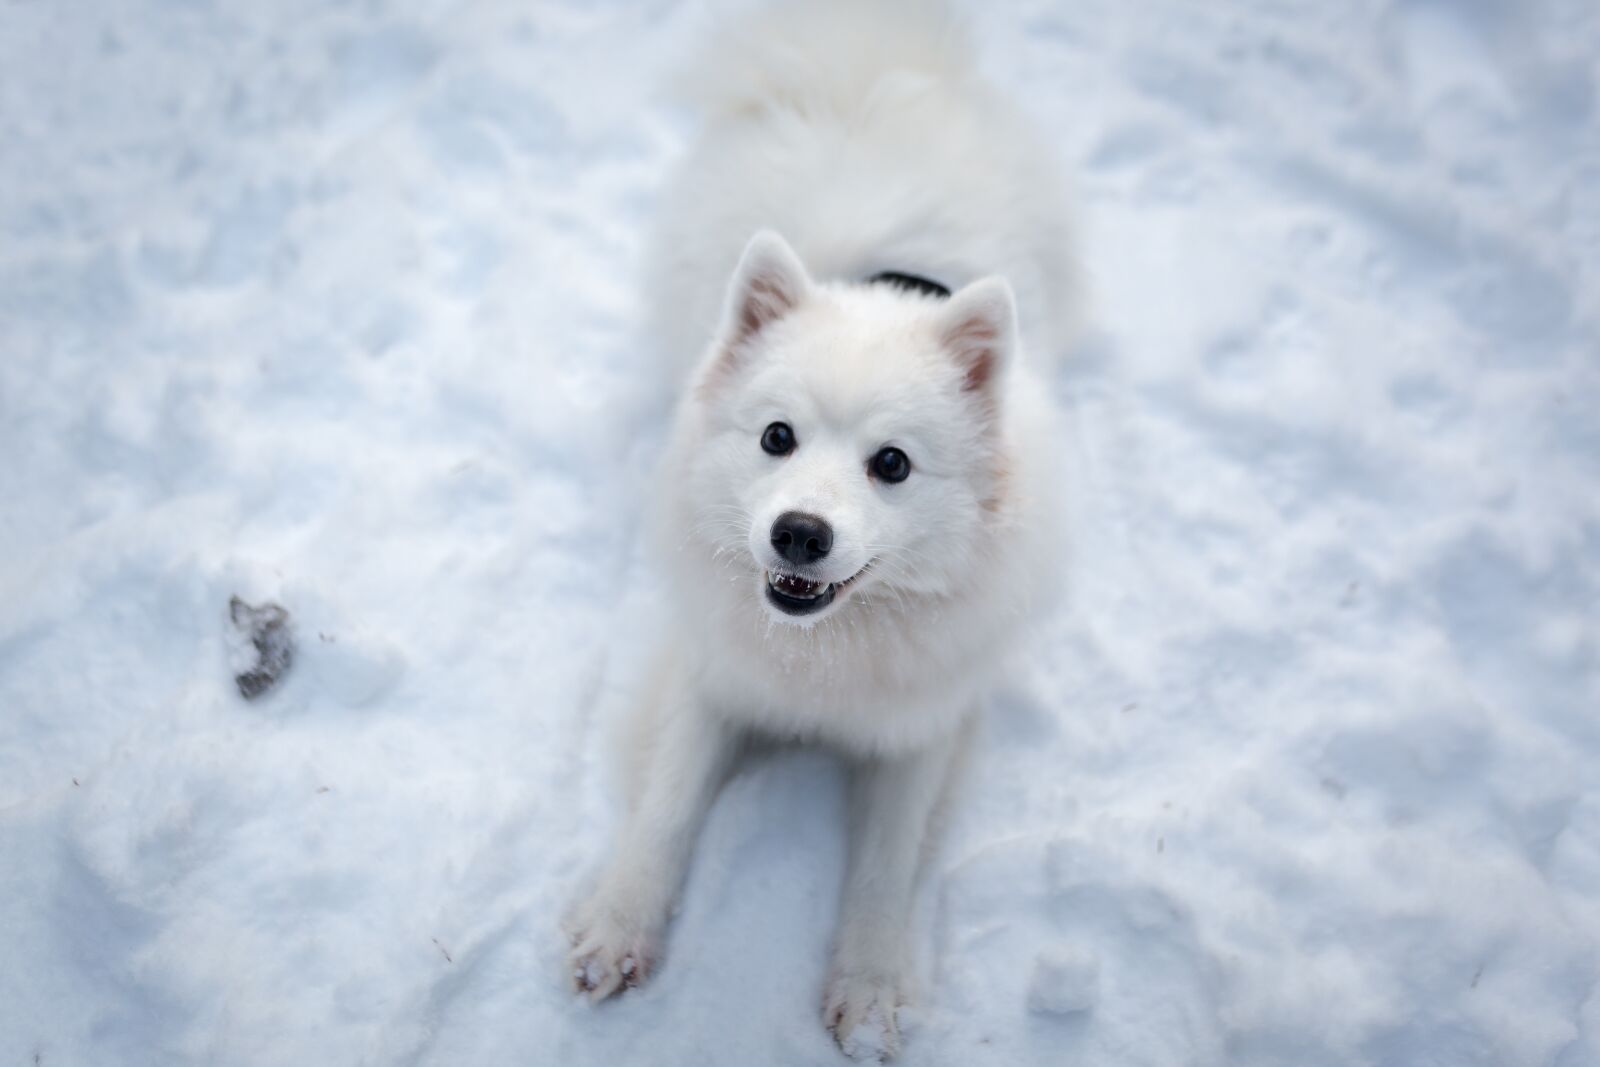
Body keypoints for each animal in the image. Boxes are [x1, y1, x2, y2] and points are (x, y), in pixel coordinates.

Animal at [563, 0, 1075, 1055]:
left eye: (893, 464)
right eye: (776, 436)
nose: (799, 533)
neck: (824, 654)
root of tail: (868, 66)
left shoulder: (923, 726)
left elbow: (886, 864)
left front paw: (871, 992)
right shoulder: (710, 676)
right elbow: (666, 805)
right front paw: (618, 927)